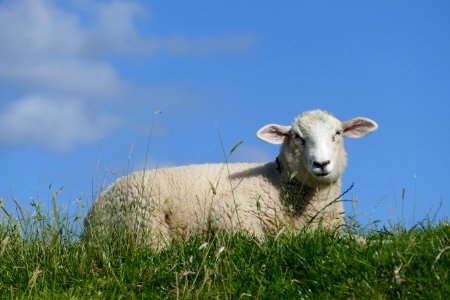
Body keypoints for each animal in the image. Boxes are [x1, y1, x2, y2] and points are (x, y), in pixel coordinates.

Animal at [83, 109, 376, 250]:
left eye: (337, 134)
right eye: (298, 137)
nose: (321, 164)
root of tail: (90, 220)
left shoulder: (332, 230)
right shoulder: (231, 213)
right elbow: (264, 241)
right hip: (143, 221)